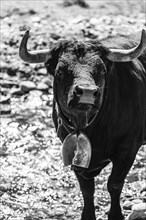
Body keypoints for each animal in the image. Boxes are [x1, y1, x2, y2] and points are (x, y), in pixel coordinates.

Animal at [19, 29, 146, 220]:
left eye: (102, 70)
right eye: (60, 71)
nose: (86, 92)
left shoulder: (128, 147)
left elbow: (114, 184)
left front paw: (115, 214)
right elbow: (87, 190)